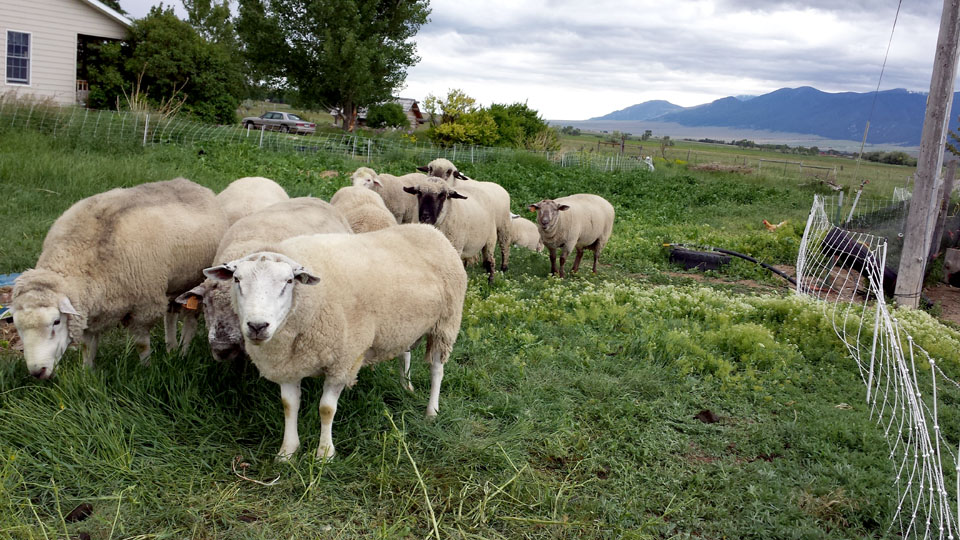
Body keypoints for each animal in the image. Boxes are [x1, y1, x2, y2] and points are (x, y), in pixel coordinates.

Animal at [10, 179, 227, 378]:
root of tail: (192, 183)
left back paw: (183, 352)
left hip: (195, 281)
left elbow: (141, 344)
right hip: (174, 284)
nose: (37, 372)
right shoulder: (91, 311)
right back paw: (171, 347)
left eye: (56, 322)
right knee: (171, 315)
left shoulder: (144, 305)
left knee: (190, 321)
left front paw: (146, 370)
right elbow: (88, 347)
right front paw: (87, 374)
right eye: (17, 326)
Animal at [204, 224, 466, 460]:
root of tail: (430, 229)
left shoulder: (344, 362)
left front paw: (324, 454)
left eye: (288, 281)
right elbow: (289, 405)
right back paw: (406, 386)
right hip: (403, 326)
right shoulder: (288, 364)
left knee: (436, 370)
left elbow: (326, 409)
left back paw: (431, 410)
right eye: (236, 279)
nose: (257, 326)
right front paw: (287, 452)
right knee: (405, 353)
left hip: (445, 324)